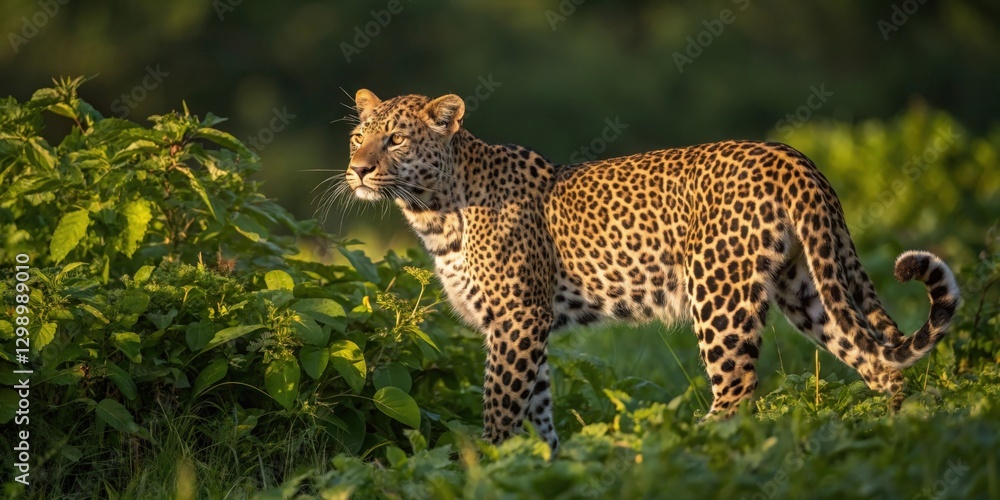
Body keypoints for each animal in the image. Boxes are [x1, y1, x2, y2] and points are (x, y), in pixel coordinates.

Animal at [336, 89, 961, 456]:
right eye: (358, 137)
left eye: (396, 139)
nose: (357, 169)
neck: (433, 211)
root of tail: (793, 157)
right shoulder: (526, 327)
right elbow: (537, 407)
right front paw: (544, 466)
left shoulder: (516, 320)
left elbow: (500, 405)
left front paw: (489, 463)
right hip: (806, 286)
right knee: (880, 365)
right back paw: (889, 440)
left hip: (720, 292)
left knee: (739, 388)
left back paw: (675, 447)